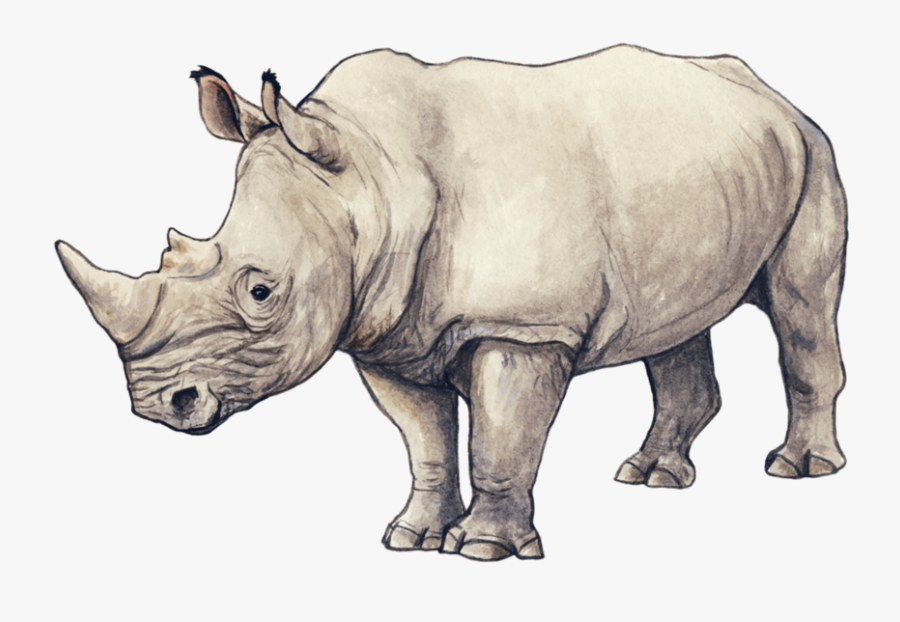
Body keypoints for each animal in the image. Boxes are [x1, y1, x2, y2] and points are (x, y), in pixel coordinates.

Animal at [57, 44, 847, 561]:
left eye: (260, 291)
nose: (158, 405)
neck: (372, 176)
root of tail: (771, 93)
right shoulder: (387, 333)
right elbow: (427, 441)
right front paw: (412, 537)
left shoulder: (523, 327)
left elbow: (500, 438)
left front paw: (483, 551)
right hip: (712, 170)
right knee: (676, 325)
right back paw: (650, 477)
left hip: (814, 152)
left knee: (801, 308)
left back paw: (798, 470)